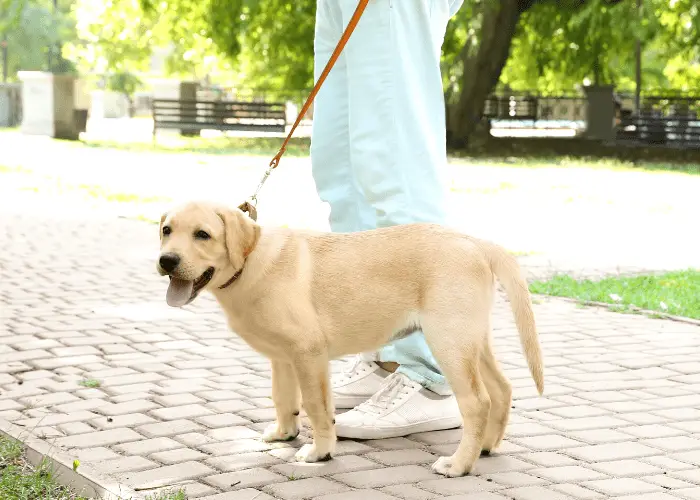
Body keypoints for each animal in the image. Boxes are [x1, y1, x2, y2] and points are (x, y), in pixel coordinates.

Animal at [156, 200, 544, 476]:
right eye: (166, 230)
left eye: (203, 235)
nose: (166, 260)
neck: (250, 265)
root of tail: (475, 242)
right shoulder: (282, 357)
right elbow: (283, 398)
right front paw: (284, 433)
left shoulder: (308, 353)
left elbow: (316, 407)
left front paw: (320, 451)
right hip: (472, 340)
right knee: (502, 389)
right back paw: (487, 447)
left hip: (448, 340)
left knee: (477, 402)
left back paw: (460, 464)